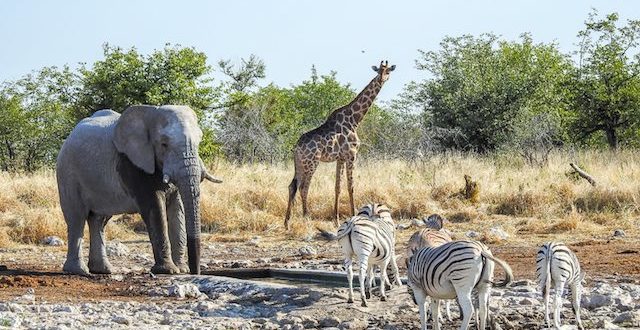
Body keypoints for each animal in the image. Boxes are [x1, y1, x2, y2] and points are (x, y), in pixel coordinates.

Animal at [57, 105, 222, 276]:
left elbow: (178, 209)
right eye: (164, 144)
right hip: (68, 174)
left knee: (98, 220)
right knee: (77, 218)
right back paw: (78, 271)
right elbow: (155, 209)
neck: (151, 113)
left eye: (199, 142)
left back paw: (104, 270)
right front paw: (168, 271)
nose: (195, 272)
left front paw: (181, 269)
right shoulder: (133, 164)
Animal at [284, 60, 396, 229]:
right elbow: (351, 187)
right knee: (304, 187)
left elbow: (338, 187)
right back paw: (306, 217)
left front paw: (336, 220)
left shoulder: (340, 158)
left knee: (292, 186)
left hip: (299, 163)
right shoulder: (351, 155)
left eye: (388, 71)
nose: (382, 79)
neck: (355, 120)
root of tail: (296, 147)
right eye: (379, 72)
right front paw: (354, 215)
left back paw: (287, 223)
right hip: (312, 162)